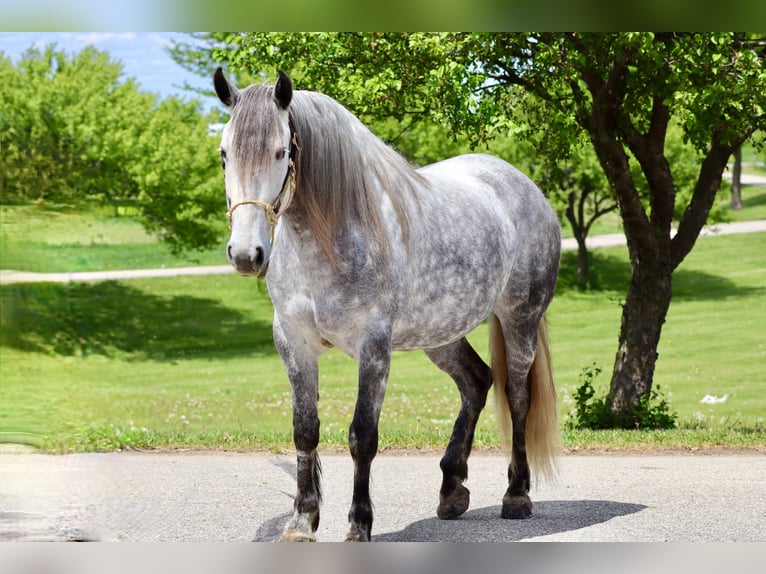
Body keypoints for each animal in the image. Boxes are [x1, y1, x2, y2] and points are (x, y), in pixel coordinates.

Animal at [213, 68, 561, 542]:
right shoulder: (293, 344)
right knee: (476, 382)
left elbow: (362, 436)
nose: (247, 255)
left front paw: (359, 525)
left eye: (281, 151)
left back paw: (517, 495)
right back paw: (452, 491)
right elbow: (305, 432)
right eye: (224, 154)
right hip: (440, 334)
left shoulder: (373, 347)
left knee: (517, 396)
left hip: (520, 320)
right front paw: (302, 522)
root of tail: (527, 188)